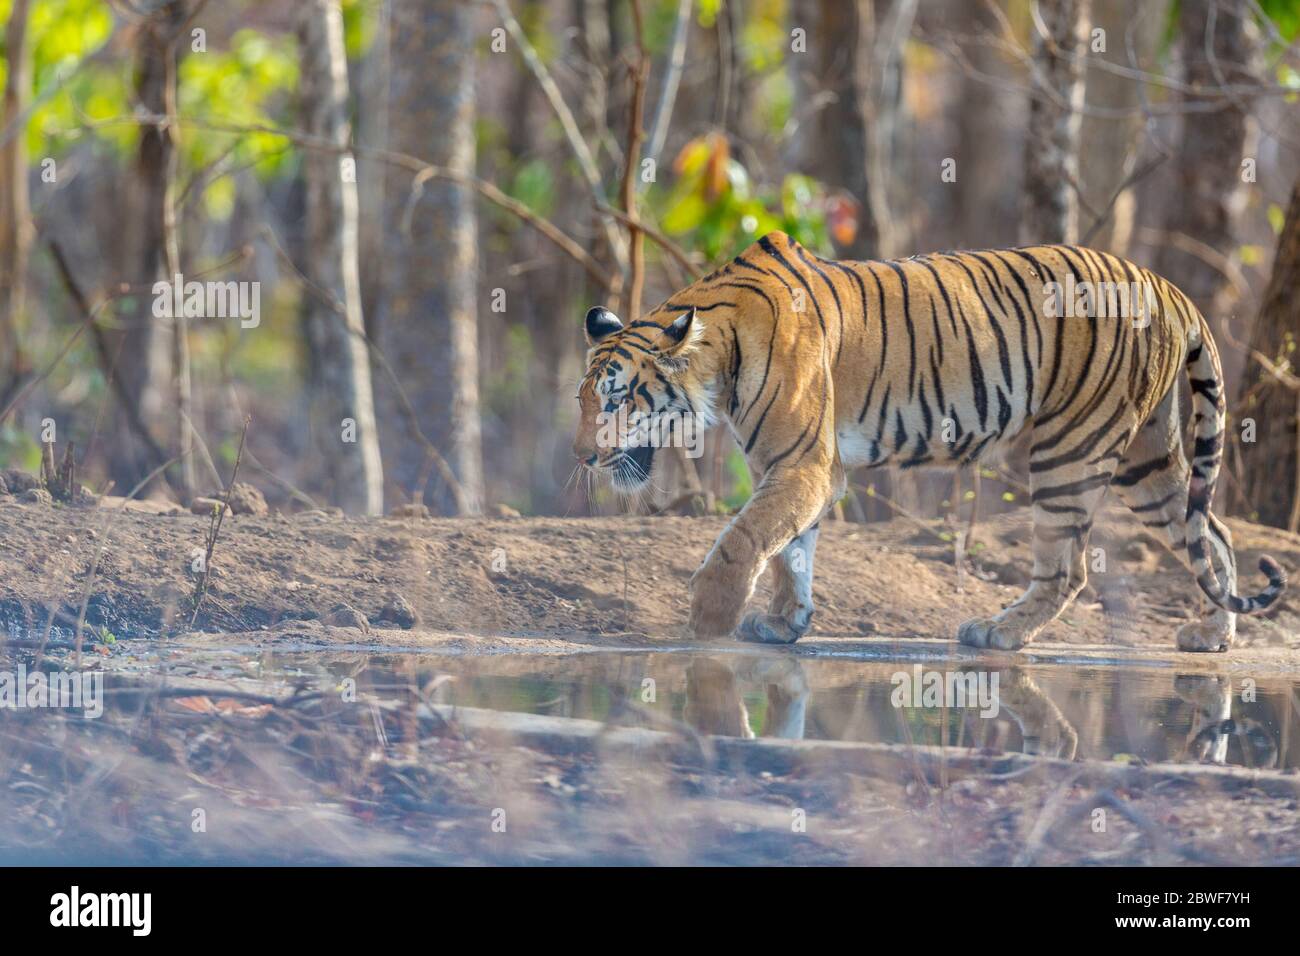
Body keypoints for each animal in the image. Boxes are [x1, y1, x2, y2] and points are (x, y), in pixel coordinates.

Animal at [572, 231, 1285, 652]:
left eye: (616, 398)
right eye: (582, 400)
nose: (583, 456)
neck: (717, 357)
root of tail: (1169, 288)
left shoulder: (801, 465)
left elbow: (745, 538)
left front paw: (709, 620)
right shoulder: (801, 470)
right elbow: (789, 549)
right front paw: (784, 621)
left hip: (1072, 448)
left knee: (1070, 566)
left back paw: (997, 632)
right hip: (1149, 459)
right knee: (1213, 534)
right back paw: (1213, 634)